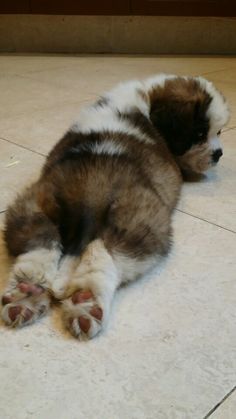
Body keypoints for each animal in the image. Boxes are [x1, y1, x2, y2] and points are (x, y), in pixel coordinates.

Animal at [0, 74, 230, 340]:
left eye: (219, 131)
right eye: (201, 133)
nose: (218, 154)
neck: (145, 97)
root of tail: (89, 196)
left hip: (32, 204)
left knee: (39, 243)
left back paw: (27, 294)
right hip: (143, 221)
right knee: (105, 254)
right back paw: (87, 301)